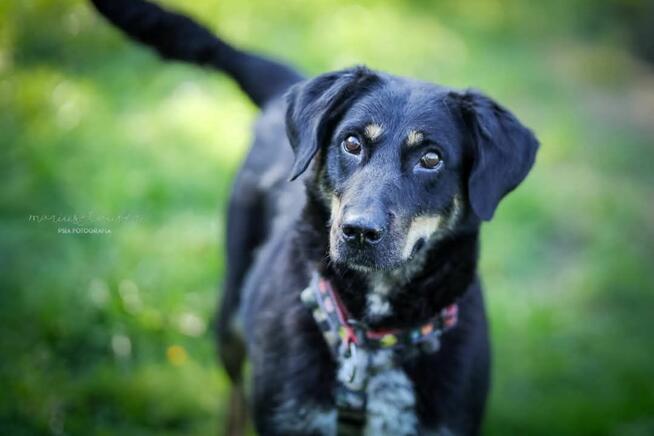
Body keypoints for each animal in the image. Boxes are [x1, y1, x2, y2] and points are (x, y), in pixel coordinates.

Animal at [91, 1, 544, 434]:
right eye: (352, 142)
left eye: (431, 158)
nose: (358, 231)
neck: (372, 342)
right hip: (230, 317)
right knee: (236, 396)